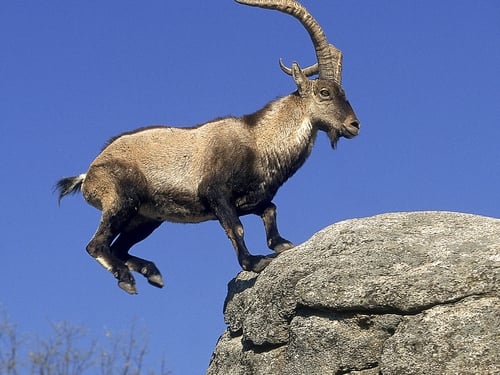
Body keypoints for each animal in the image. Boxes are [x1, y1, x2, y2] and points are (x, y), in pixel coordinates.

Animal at [54, 0, 360, 296]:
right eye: (324, 93)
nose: (354, 125)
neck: (258, 141)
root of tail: (88, 176)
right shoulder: (215, 193)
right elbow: (236, 227)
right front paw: (254, 262)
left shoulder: (250, 199)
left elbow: (270, 210)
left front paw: (281, 244)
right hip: (121, 200)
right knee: (96, 245)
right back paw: (128, 279)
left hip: (146, 218)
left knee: (118, 247)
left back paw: (153, 274)